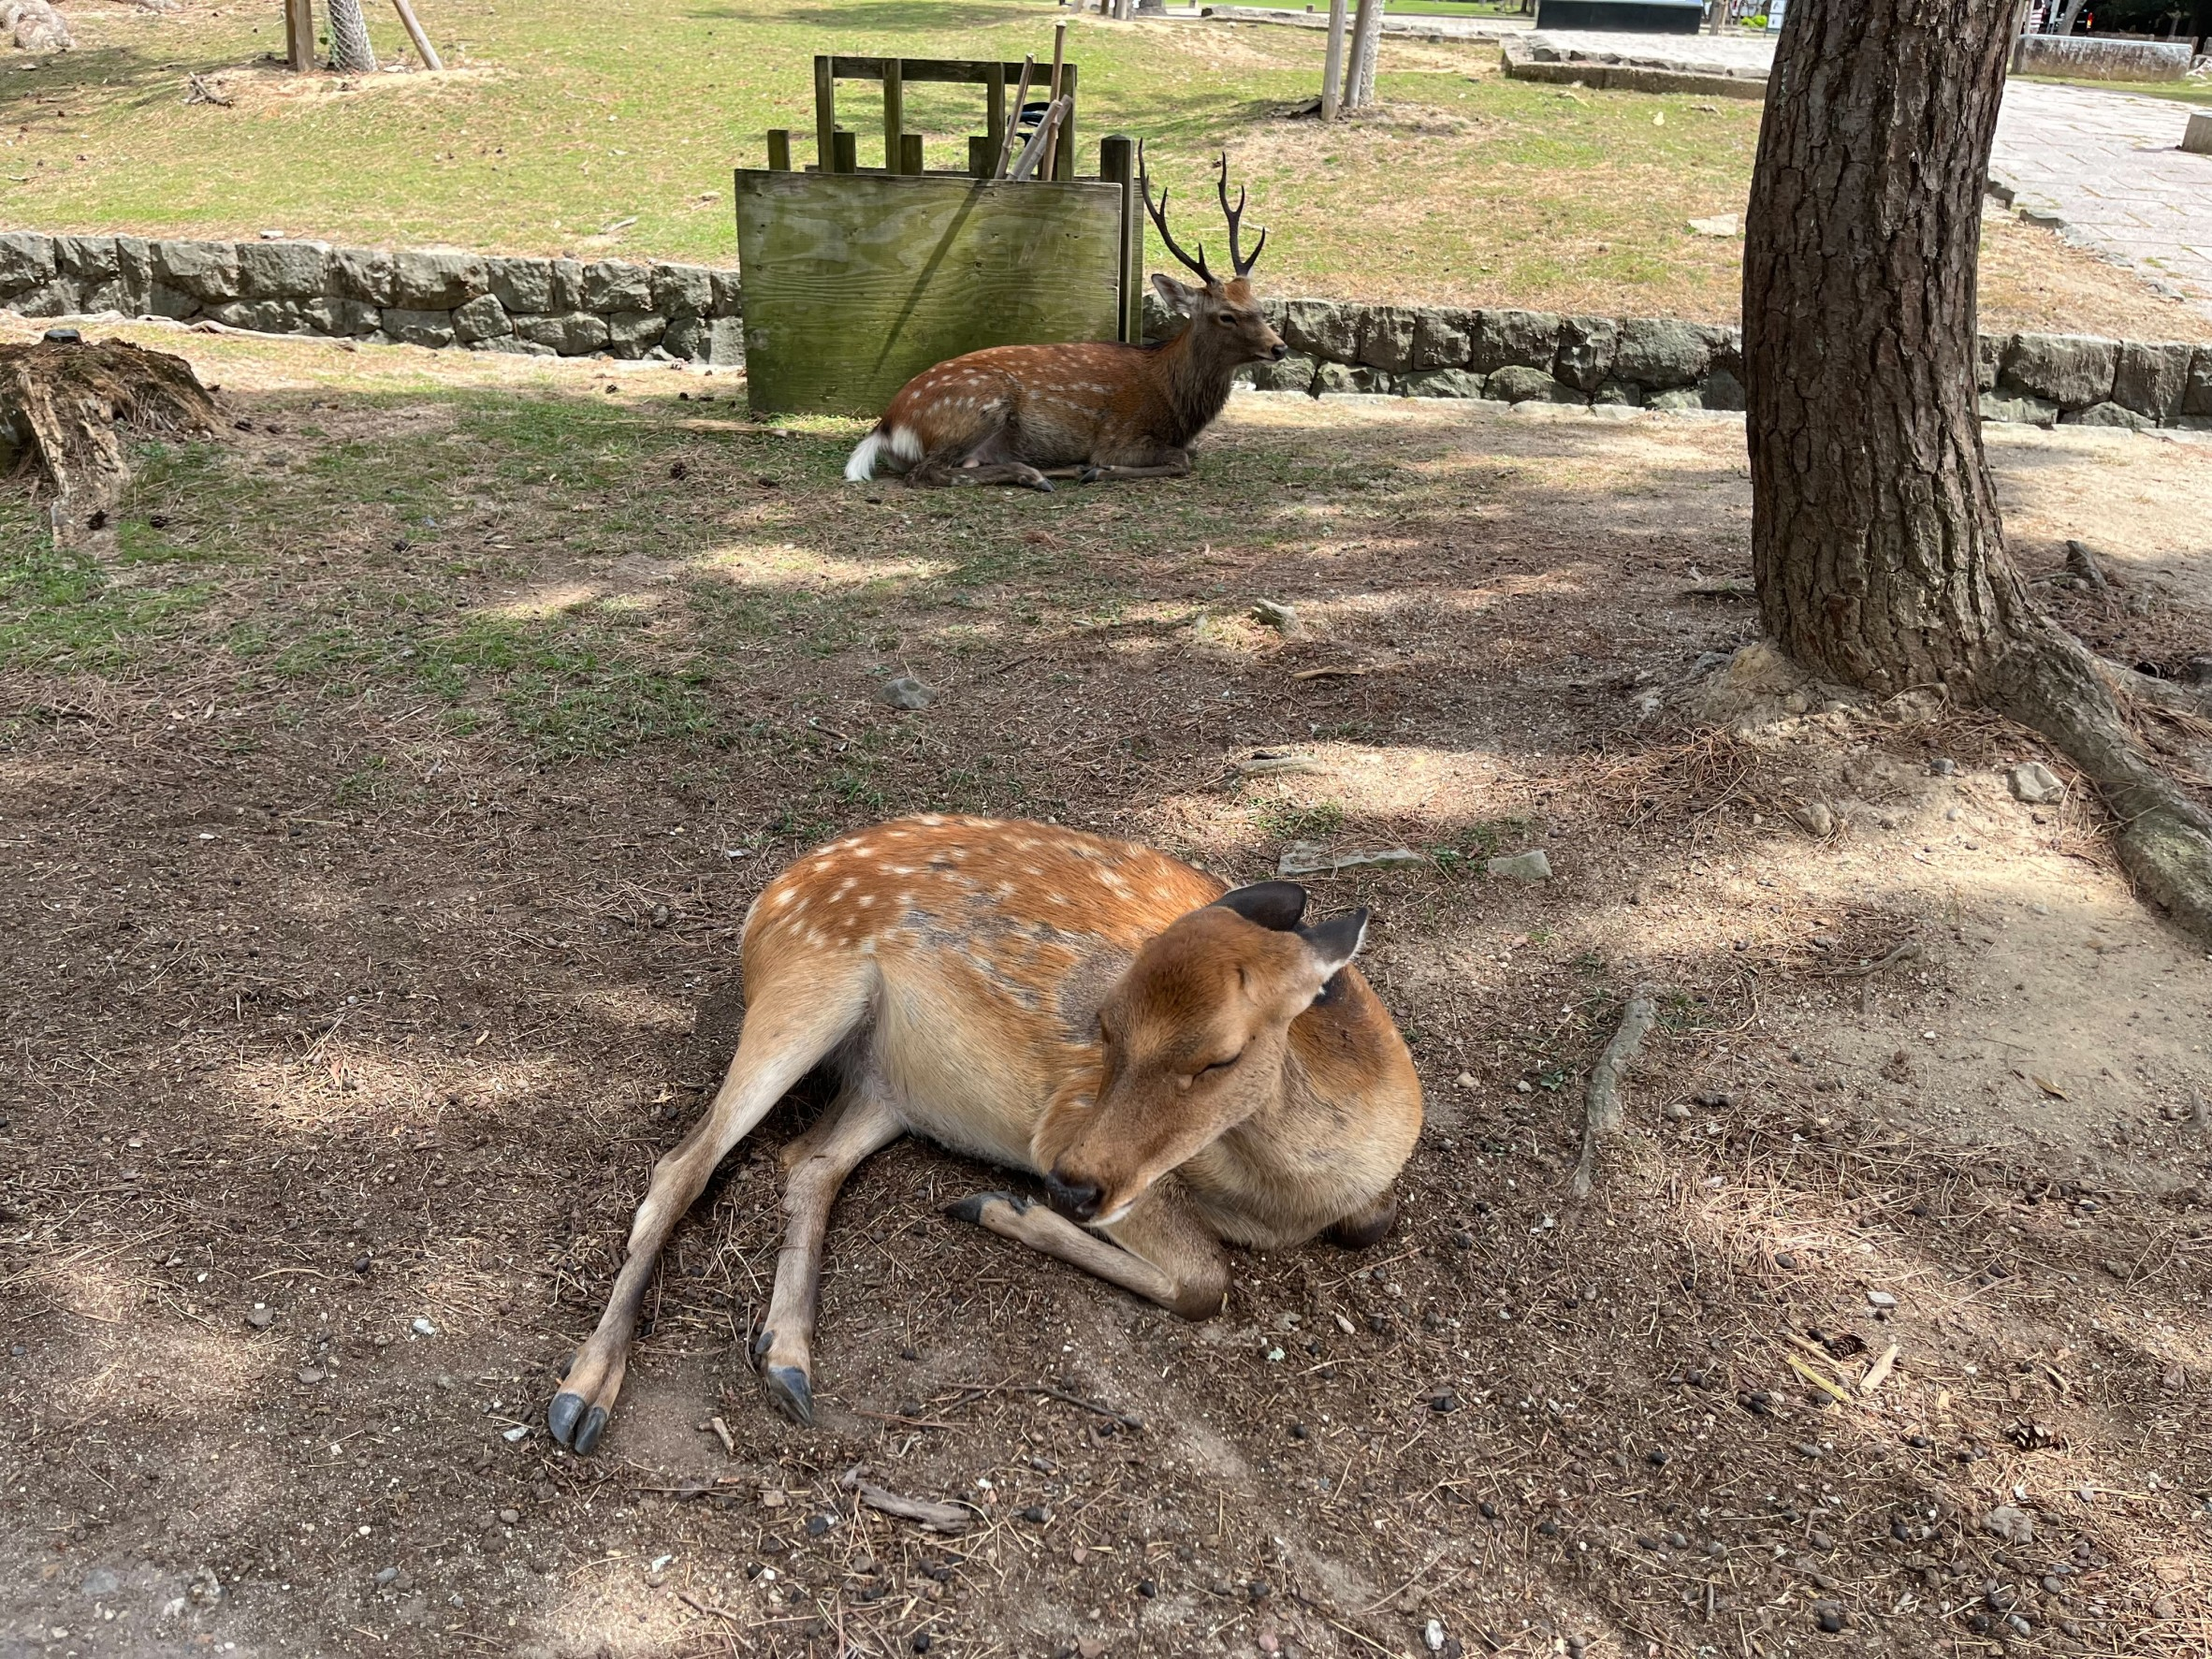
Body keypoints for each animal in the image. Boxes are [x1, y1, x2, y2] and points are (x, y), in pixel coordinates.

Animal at [544, 818, 1424, 1450]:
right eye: (1104, 1023)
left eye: (1222, 1055)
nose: (1068, 1183)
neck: (1285, 1197)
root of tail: (769, 896)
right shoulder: (1069, 1120)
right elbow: (1209, 1279)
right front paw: (1004, 1206)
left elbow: (1372, 1221)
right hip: (807, 985)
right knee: (682, 1165)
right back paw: (582, 1395)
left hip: (891, 1088)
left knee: (809, 1162)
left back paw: (788, 1359)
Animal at [836, 148, 1291, 493]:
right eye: (1226, 316)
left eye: (1260, 306)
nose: (1280, 347)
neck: (1176, 402)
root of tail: (887, 424)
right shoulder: (1123, 436)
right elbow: (1181, 459)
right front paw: (1101, 469)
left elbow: (1190, 453)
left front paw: (1089, 469)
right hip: (978, 404)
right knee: (927, 473)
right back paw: (1038, 474)